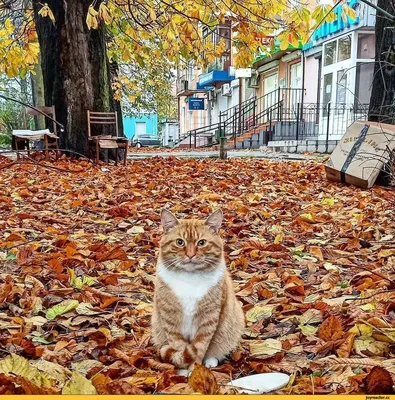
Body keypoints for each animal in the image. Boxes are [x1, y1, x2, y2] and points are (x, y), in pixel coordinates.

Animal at [152, 209, 244, 368]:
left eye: (201, 243)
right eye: (179, 242)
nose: (190, 255)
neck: (190, 280)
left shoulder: (208, 319)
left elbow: (200, 348)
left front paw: (195, 370)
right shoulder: (171, 319)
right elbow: (179, 347)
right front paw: (183, 370)